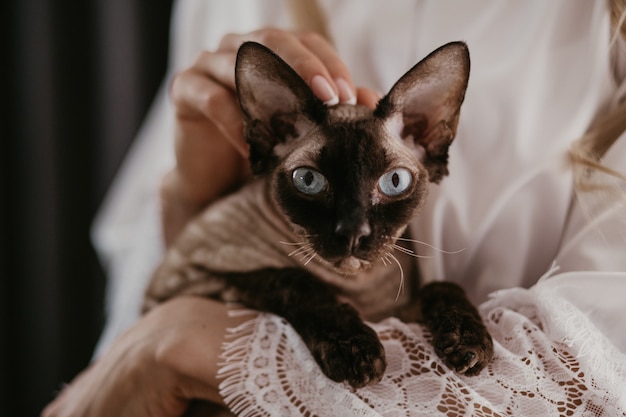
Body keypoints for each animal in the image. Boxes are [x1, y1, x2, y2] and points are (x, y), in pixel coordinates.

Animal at [144, 40, 490, 386]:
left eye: (394, 182)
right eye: (309, 181)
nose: (353, 232)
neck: (360, 289)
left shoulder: (397, 311)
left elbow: (442, 287)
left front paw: (468, 340)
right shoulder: (185, 284)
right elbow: (293, 279)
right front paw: (355, 350)